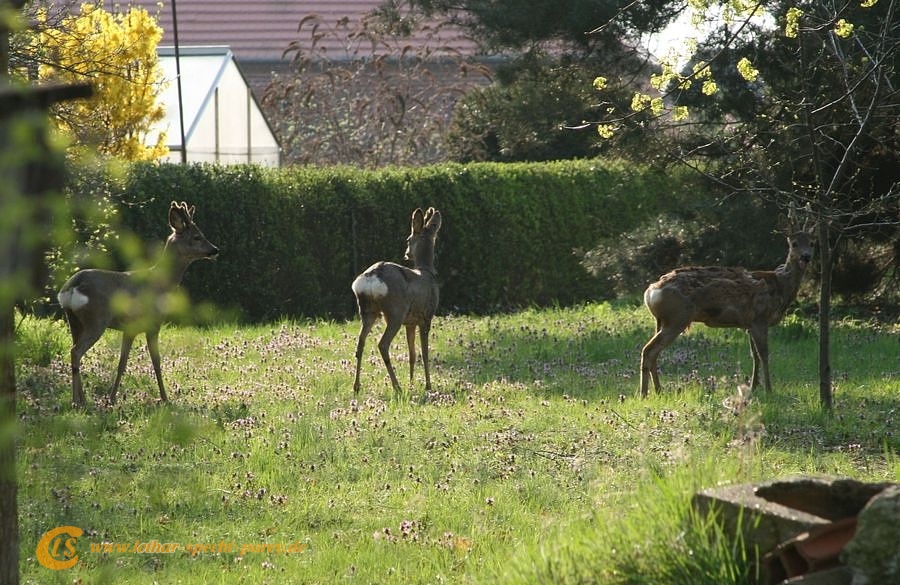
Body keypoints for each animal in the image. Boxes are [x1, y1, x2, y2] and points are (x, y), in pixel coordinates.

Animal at [57, 201, 218, 406]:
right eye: (197, 237)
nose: (215, 250)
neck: (162, 284)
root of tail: (71, 287)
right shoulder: (153, 324)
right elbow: (156, 362)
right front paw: (165, 398)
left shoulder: (130, 328)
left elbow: (121, 363)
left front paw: (112, 399)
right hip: (97, 319)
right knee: (76, 352)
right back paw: (77, 401)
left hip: (74, 319)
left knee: (75, 351)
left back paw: (82, 400)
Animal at [352, 208, 442, 394]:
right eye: (408, 238)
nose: (406, 254)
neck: (427, 272)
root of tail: (372, 277)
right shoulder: (426, 317)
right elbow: (425, 353)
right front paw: (428, 386)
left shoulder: (410, 322)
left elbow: (412, 354)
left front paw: (412, 383)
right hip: (395, 311)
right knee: (382, 344)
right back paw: (397, 386)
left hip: (367, 310)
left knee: (360, 343)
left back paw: (357, 386)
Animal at [640, 228, 816, 396]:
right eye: (794, 243)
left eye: (812, 243)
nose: (806, 257)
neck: (781, 287)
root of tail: (650, 292)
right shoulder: (760, 317)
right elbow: (764, 354)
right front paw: (769, 390)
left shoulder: (749, 324)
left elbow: (754, 356)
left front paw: (753, 387)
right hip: (678, 318)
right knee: (649, 350)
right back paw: (644, 393)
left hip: (663, 320)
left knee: (654, 353)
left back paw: (658, 390)